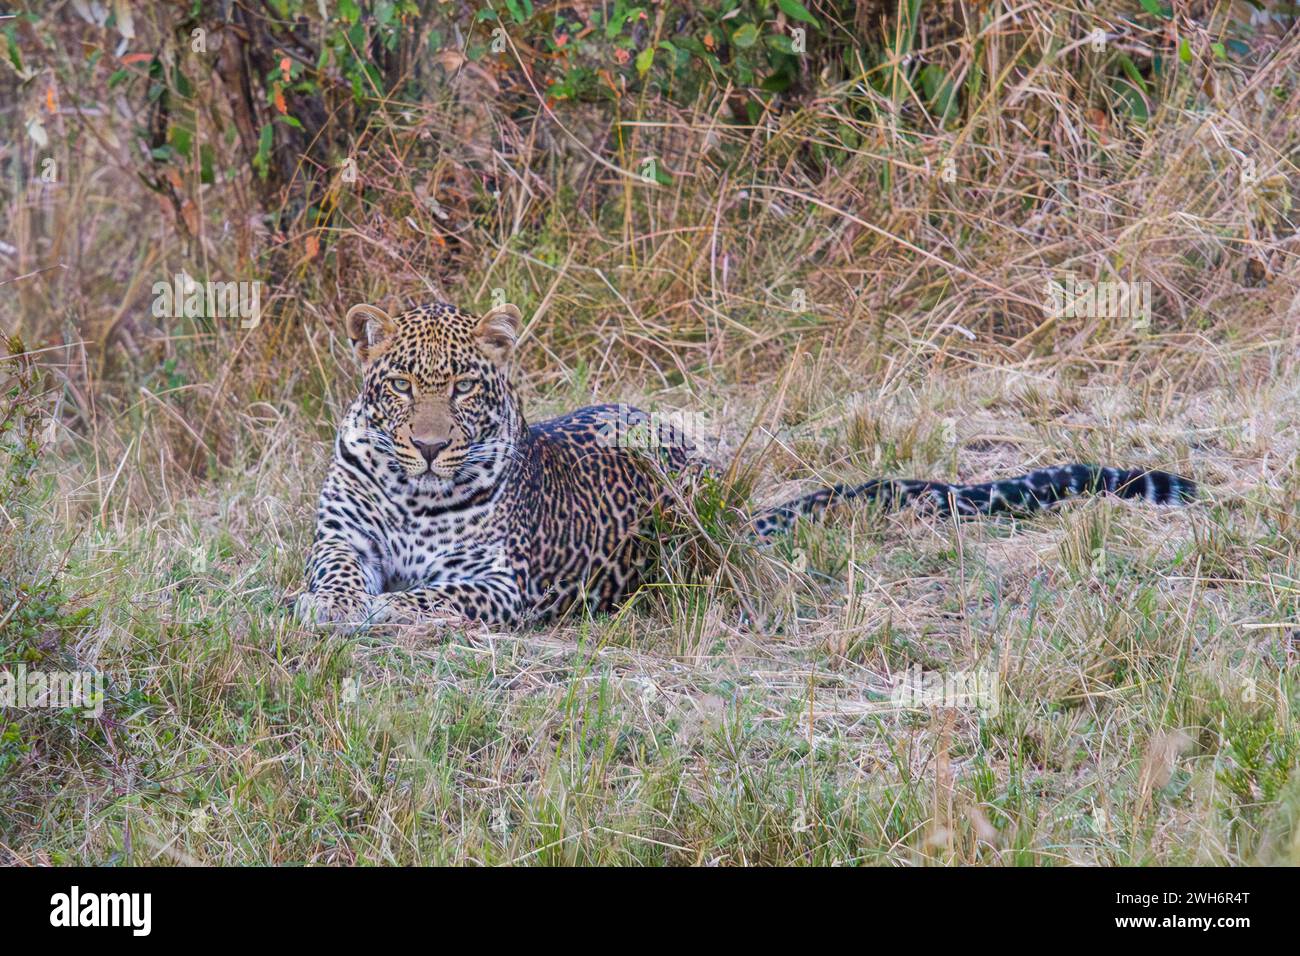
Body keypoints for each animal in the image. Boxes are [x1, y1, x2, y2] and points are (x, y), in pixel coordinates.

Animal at [293, 300, 1196, 629]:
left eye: (464, 387)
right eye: (400, 386)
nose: (429, 444)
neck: (416, 496)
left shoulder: (501, 582)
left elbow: (431, 597)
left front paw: (379, 611)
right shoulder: (341, 537)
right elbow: (334, 572)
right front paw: (328, 606)